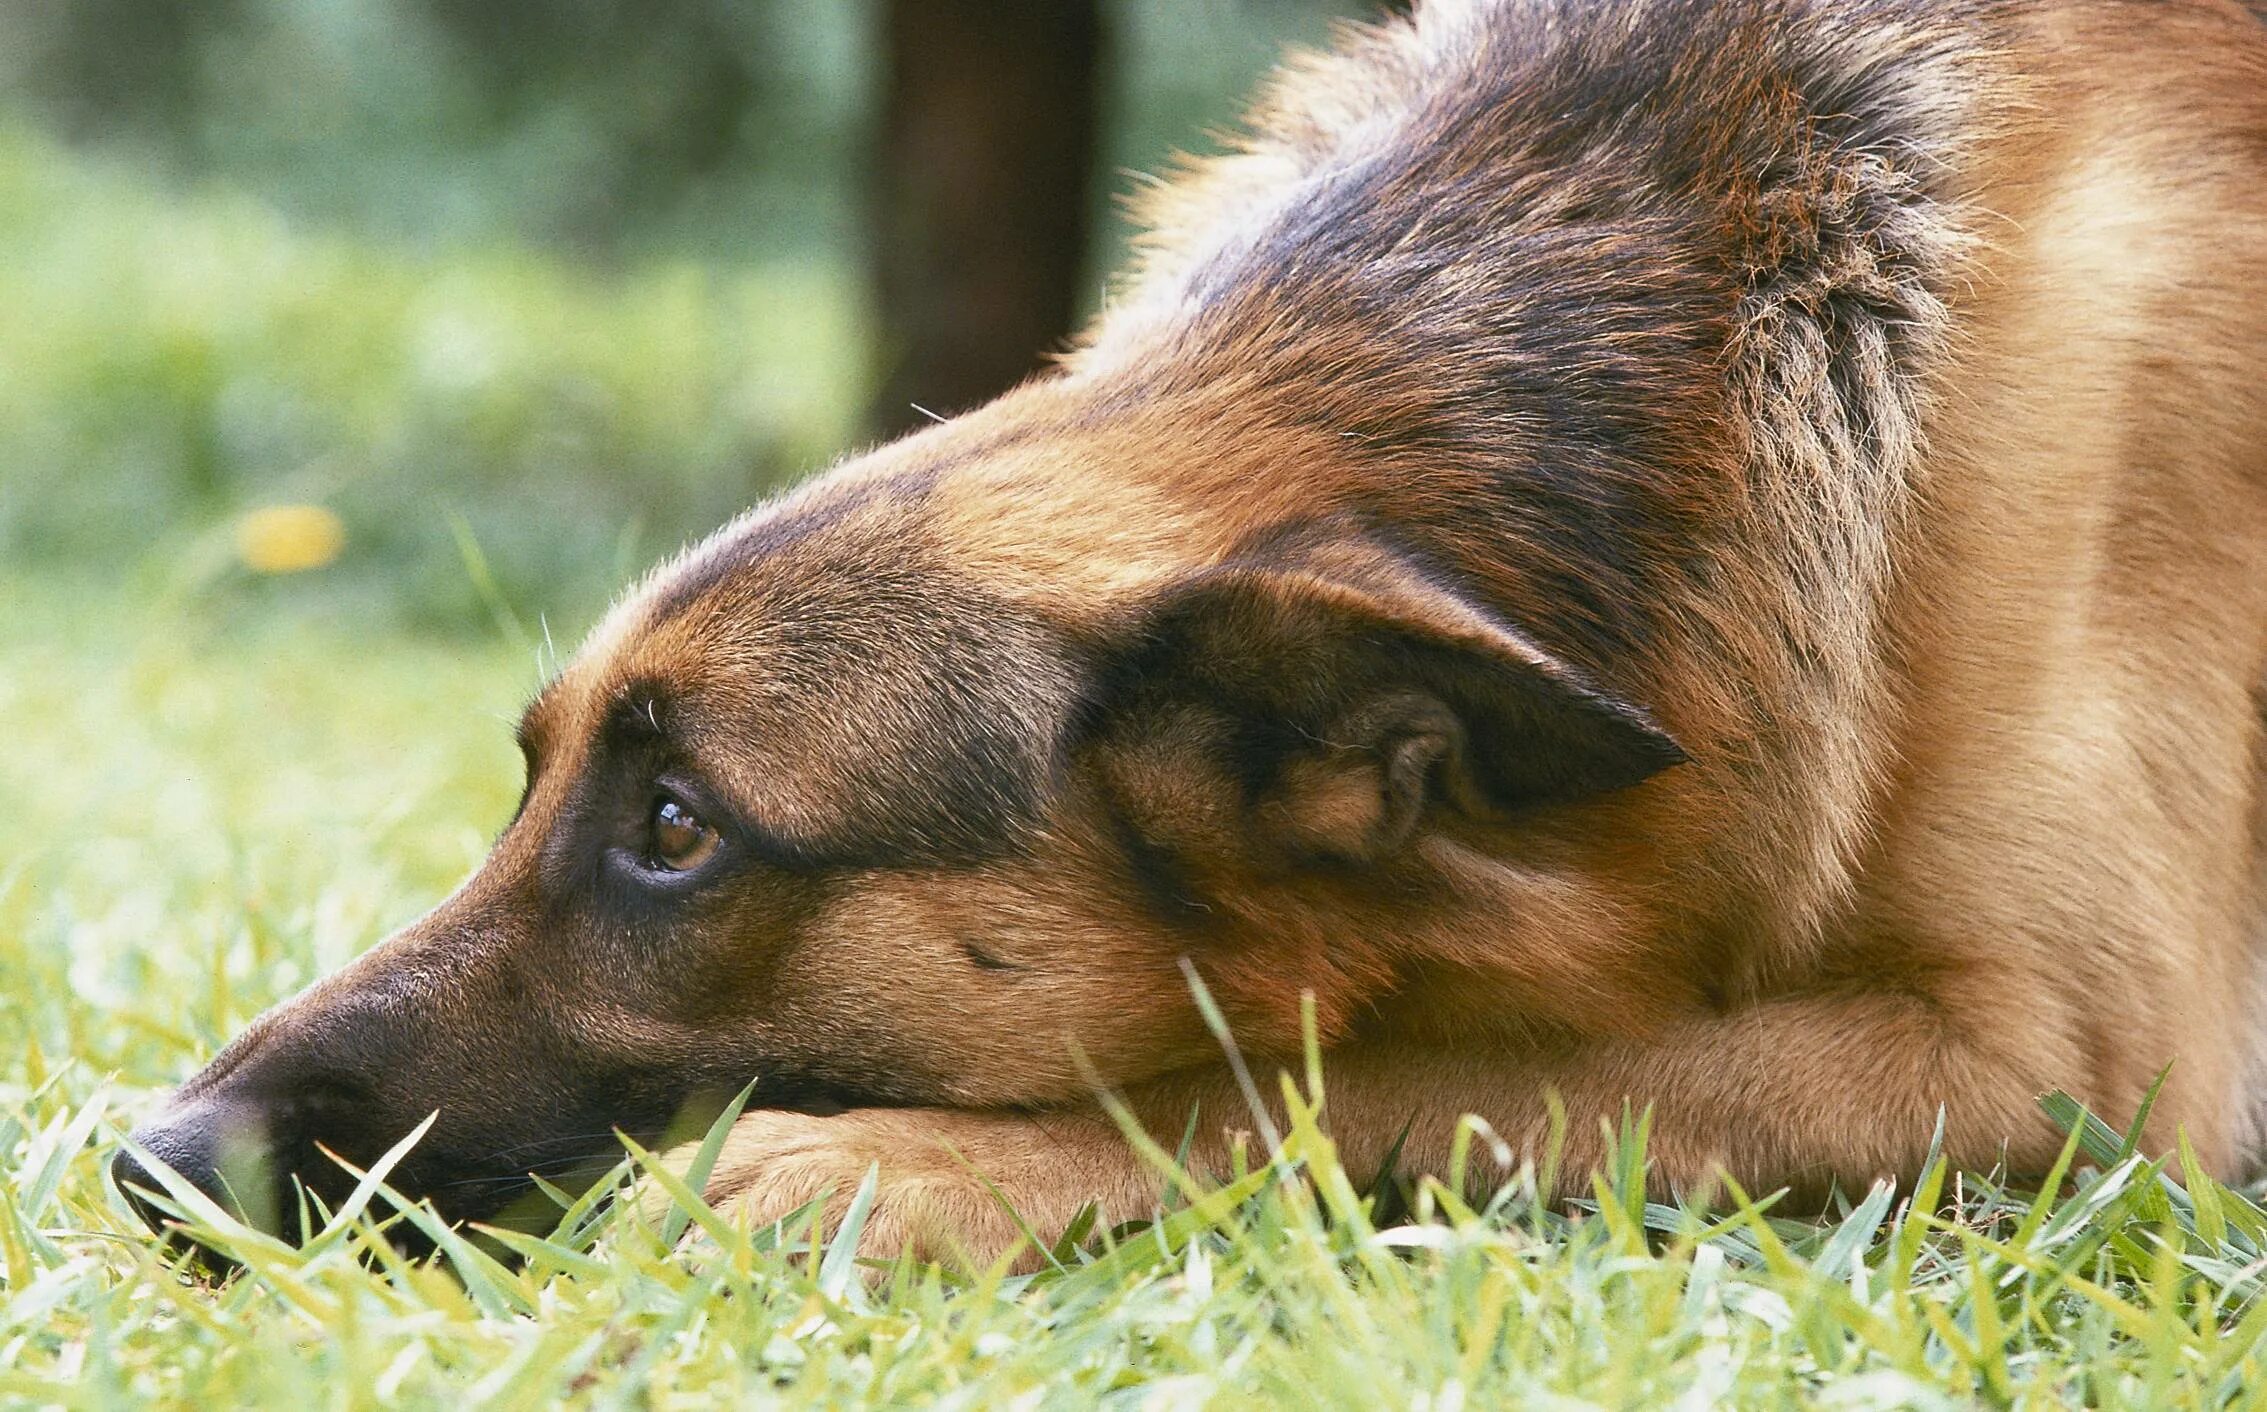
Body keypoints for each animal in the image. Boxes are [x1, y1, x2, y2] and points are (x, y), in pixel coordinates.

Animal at [115, 0, 2267, 1269]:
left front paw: (915, 1161)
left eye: (675, 828)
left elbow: (1419, 1072)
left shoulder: (2050, 1077)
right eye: (530, 782)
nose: (153, 1157)